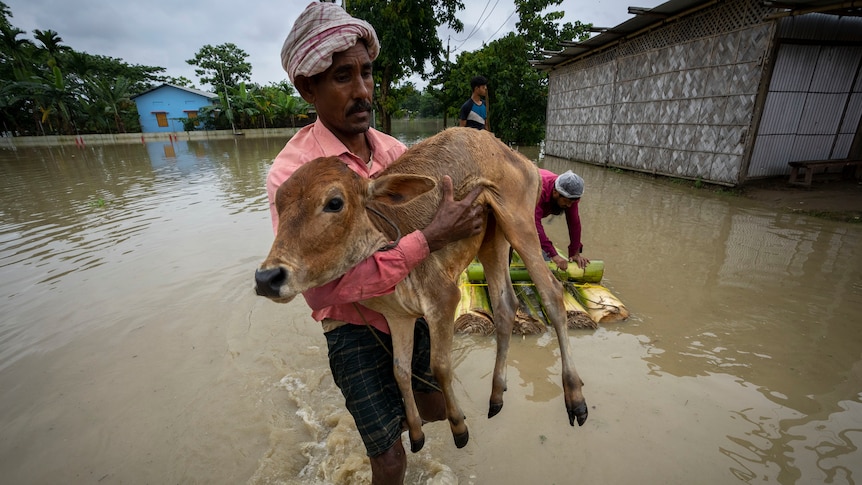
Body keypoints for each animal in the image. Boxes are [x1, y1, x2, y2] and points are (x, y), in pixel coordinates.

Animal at [255, 126, 588, 452]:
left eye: (334, 203)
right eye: (279, 204)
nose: (267, 277)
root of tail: (511, 152)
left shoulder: (444, 299)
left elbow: (439, 366)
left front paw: (458, 425)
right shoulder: (398, 318)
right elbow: (400, 371)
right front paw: (415, 432)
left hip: (518, 222)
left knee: (553, 295)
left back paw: (575, 397)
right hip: (492, 240)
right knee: (505, 306)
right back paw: (496, 395)